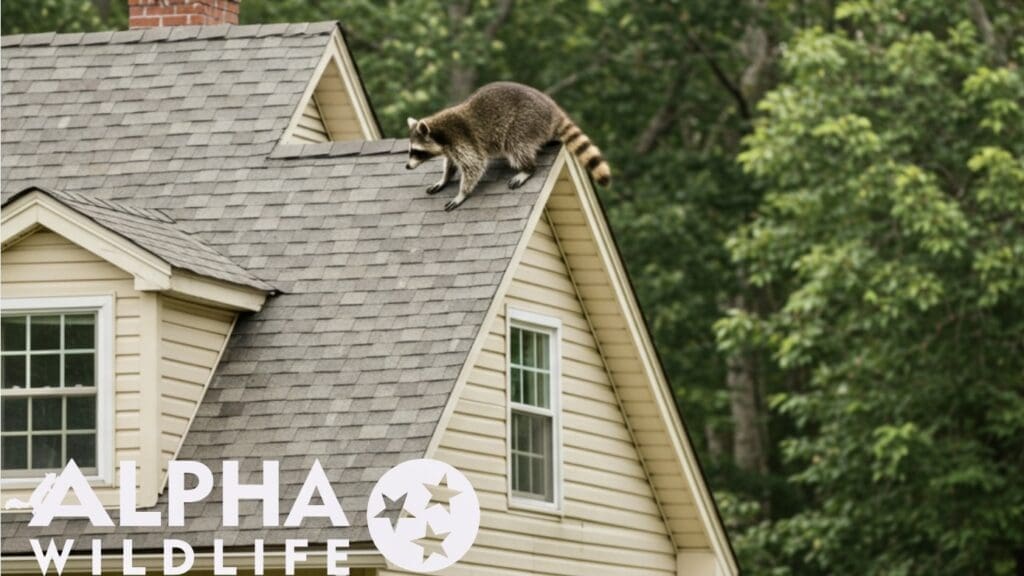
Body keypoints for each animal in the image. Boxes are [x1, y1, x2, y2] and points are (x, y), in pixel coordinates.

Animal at [406, 81, 611, 211]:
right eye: (410, 151)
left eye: (416, 151)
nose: (407, 166)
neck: (439, 132)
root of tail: (552, 109)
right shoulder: (451, 147)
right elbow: (451, 163)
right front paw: (445, 178)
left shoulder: (462, 139)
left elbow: (474, 164)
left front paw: (462, 193)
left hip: (526, 120)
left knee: (516, 144)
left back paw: (527, 169)